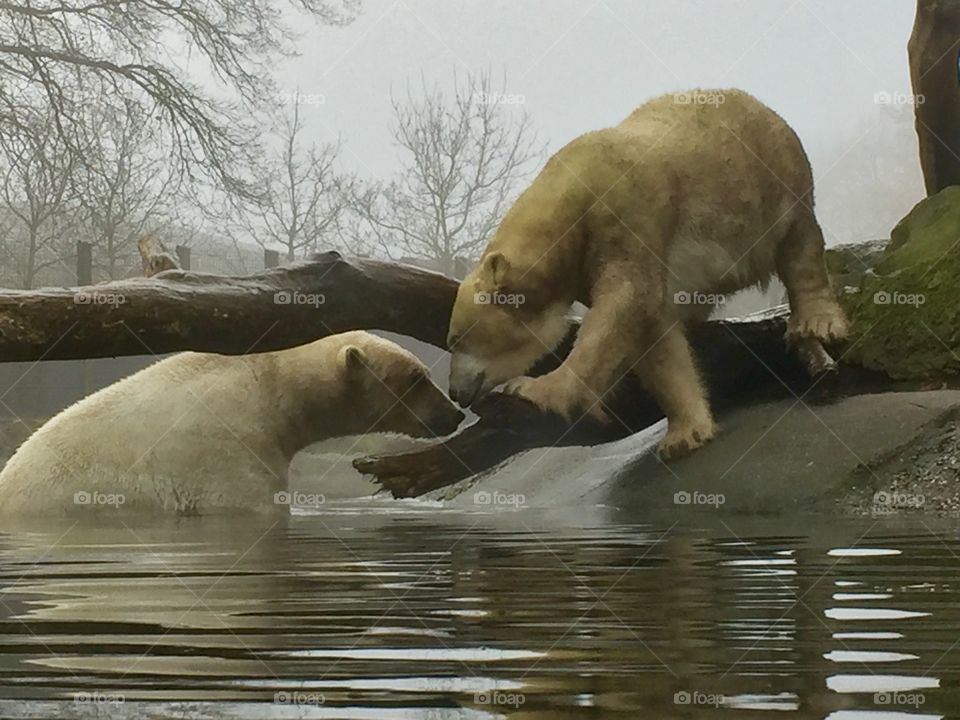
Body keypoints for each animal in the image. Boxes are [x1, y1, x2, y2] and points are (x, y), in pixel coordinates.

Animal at [446, 88, 848, 459]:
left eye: (455, 339)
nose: (455, 392)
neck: (568, 203)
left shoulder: (625, 218)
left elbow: (623, 306)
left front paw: (532, 390)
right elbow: (655, 338)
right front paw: (685, 434)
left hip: (773, 181)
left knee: (799, 247)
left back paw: (817, 322)